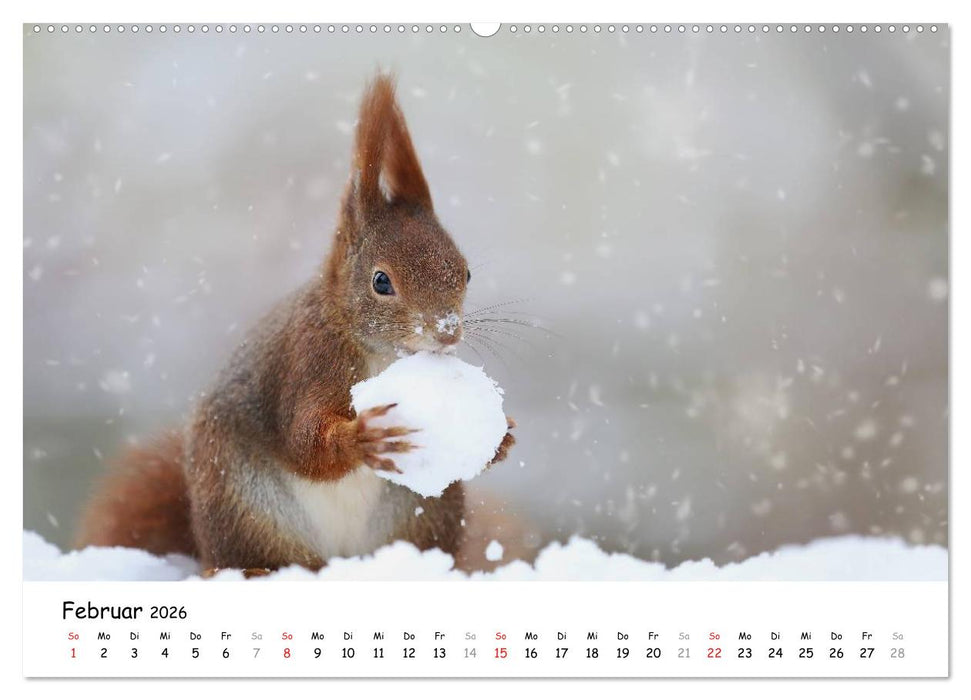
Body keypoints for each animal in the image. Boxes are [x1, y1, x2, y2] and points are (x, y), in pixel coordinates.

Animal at [76, 74, 516, 573]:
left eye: (466, 272)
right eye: (381, 281)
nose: (446, 331)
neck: (374, 349)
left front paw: (500, 441)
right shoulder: (307, 363)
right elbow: (304, 440)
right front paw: (360, 437)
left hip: (422, 512)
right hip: (244, 504)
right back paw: (250, 570)